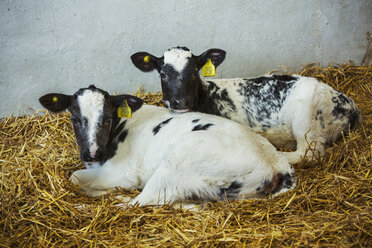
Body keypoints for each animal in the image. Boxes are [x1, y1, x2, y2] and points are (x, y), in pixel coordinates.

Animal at [39, 85, 294, 205]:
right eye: (74, 118)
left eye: (108, 117)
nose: (92, 153)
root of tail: (275, 162)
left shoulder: (121, 173)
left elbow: (74, 177)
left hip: (177, 163)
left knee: (140, 202)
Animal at [131, 46, 360, 164]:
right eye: (162, 73)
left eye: (194, 71)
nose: (181, 101)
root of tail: (349, 104)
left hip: (306, 119)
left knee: (308, 153)